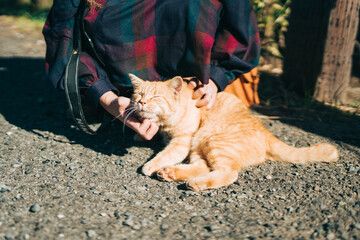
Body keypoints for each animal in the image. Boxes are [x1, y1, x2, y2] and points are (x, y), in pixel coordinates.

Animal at [128, 74, 338, 192]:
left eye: (156, 97)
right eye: (139, 95)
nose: (142, 102)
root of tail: (266, 132)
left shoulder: (182, 141)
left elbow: (166, 154)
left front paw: (149, 165)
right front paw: (140, 133)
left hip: (210, 139)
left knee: (228, 173)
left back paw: (192, 182)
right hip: (200, 145)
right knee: (202, 166)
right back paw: (171, 173)